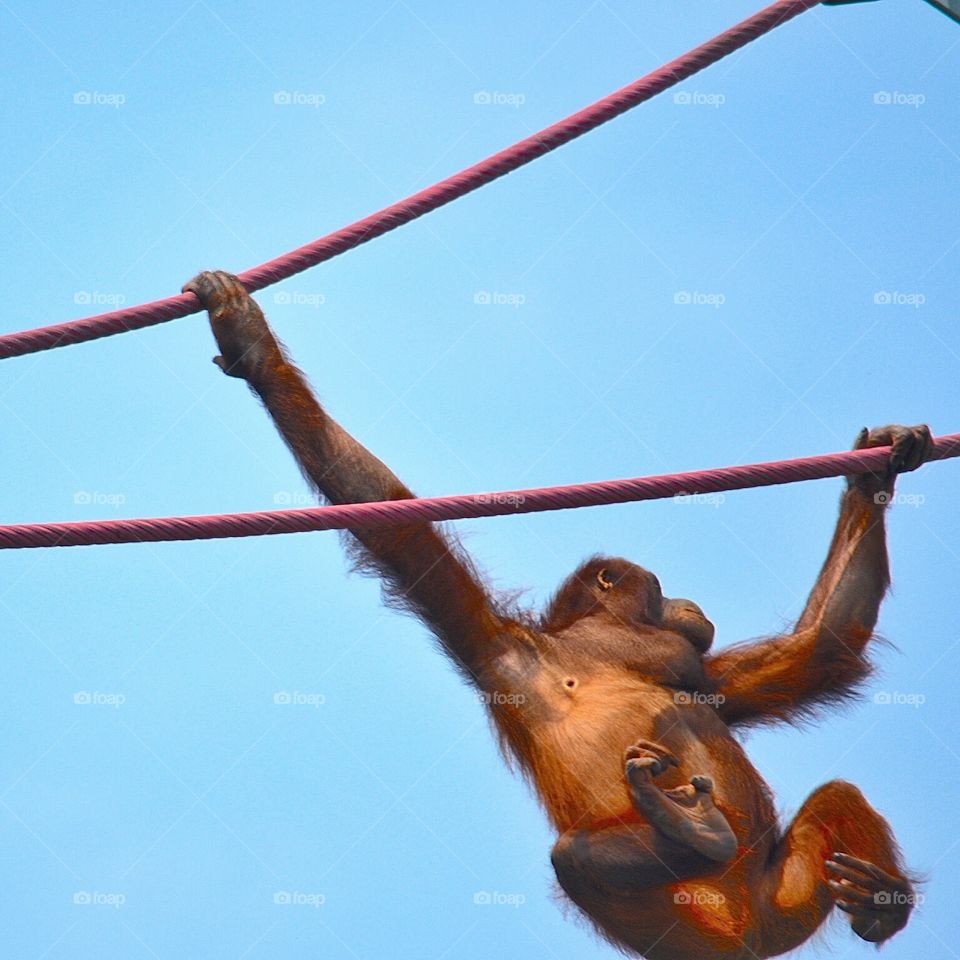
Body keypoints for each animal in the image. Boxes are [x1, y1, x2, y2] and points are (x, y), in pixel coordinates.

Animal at [184, 269, 930, 960]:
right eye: (661, 588)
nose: (689, 603)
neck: (598, 656)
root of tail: (748, 935)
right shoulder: (500, 649)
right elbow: (382, 512)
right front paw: (251, 344)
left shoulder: (699, 675)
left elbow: (820, 649)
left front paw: (877, 467)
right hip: (686, 921)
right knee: (576, 860)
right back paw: (699, 835)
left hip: (776, 901)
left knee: (834, 800)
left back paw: (875, 897)